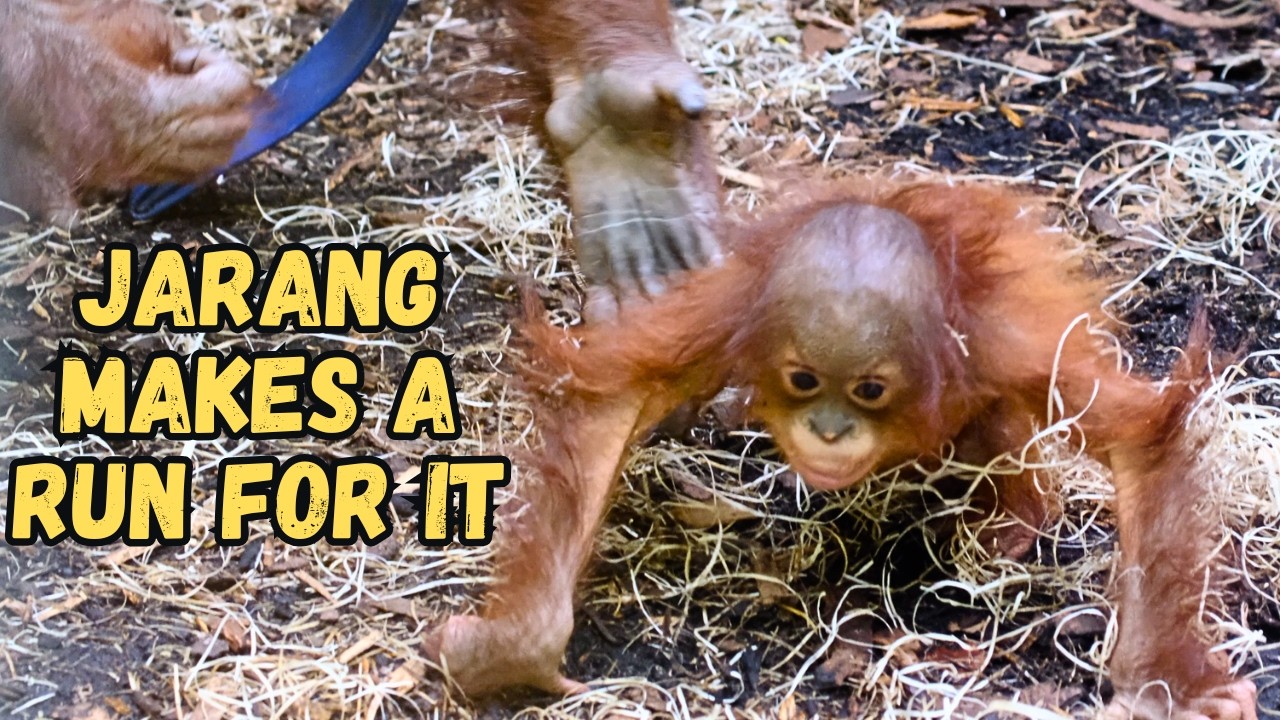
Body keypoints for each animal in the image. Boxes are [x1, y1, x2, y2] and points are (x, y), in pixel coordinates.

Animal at [426, 182, 1259, 720]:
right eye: (803, 379)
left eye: (869, 390)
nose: (828, 429)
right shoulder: (732, 316)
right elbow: (612, 405)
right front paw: (512, 650)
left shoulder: (1007, 345)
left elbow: (1140, 444)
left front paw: (1161, 689)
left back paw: (1009, 521)